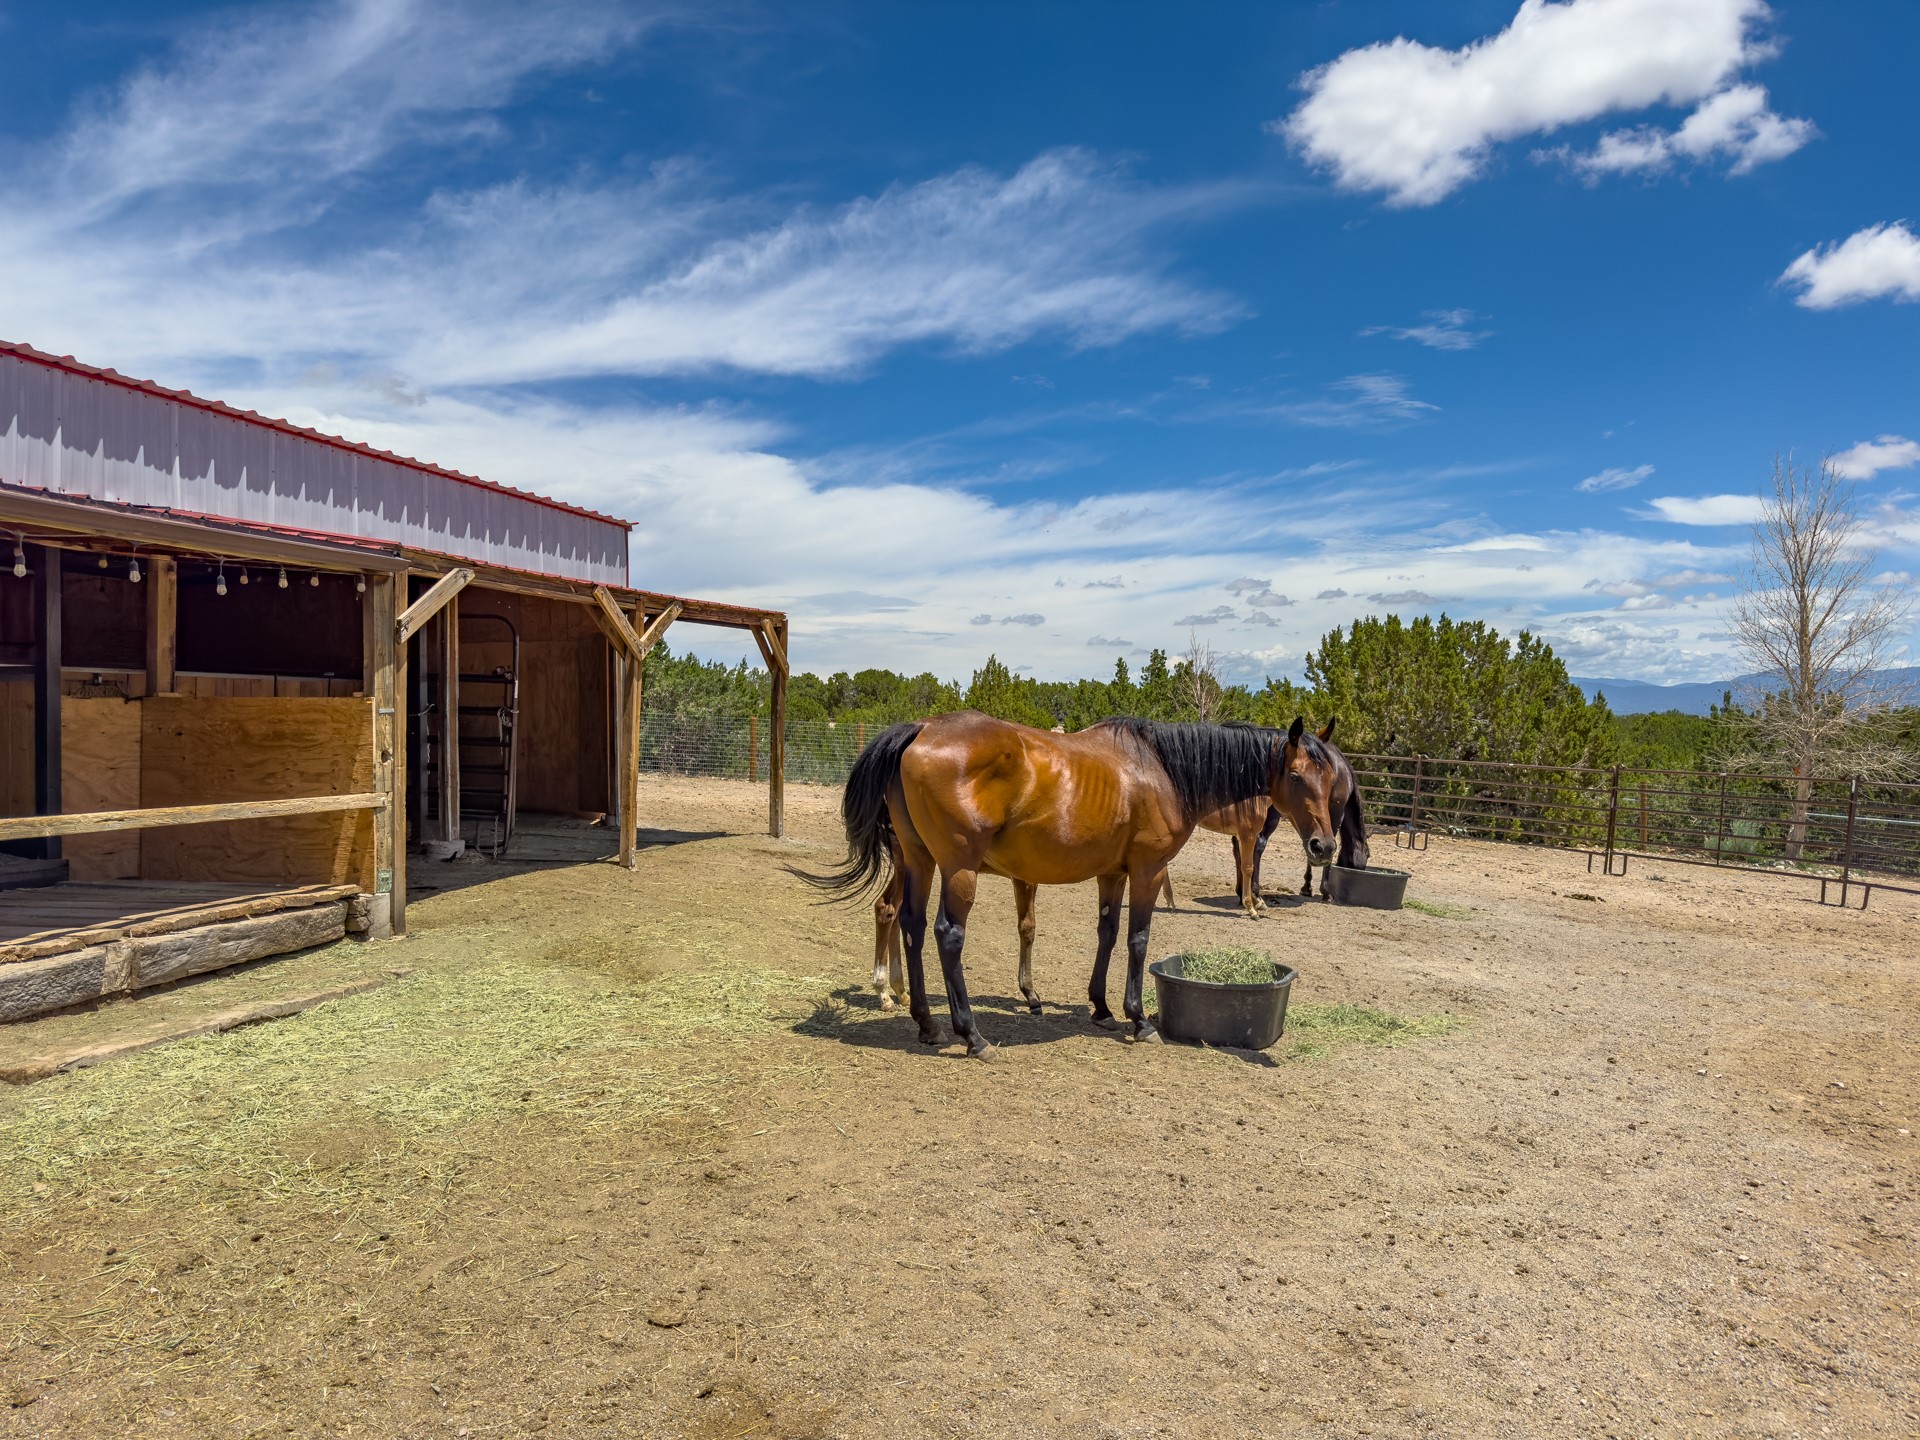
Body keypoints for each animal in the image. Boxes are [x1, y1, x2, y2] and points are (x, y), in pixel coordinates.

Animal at [802, 714, 1344, 1059]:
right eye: (1298, 776)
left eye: (1330, 778)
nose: (1324, 846)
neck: (1162, 769)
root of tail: (920, 730)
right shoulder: (1147, 871)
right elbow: (1138, 939)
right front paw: (1138, 1019)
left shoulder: (1113, 873)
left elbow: (1107, 934)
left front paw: (1101, 1007)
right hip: (957, 869)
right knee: (945, 935)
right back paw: (971, 1035)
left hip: (920, 861)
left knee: (909, 926)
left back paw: (926, 1023)